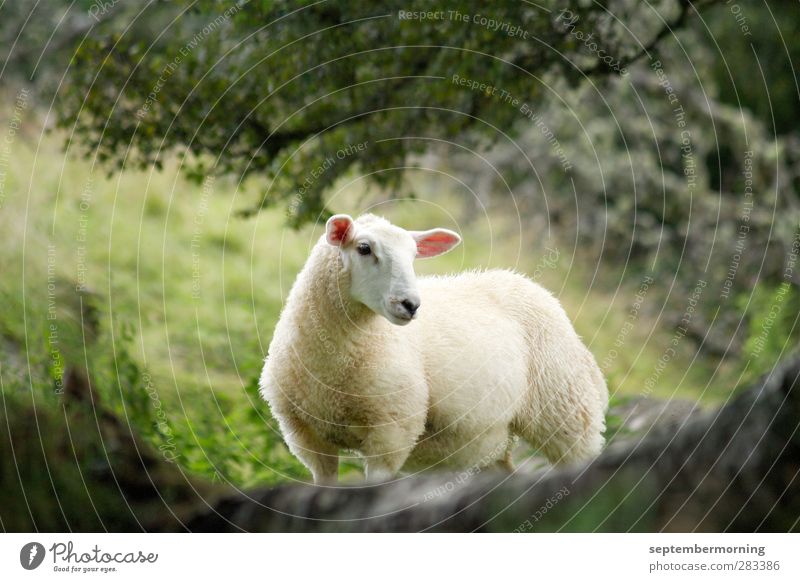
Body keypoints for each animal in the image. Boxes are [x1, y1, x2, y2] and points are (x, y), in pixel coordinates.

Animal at [260, 213, 608, 484]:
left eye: (414, 255)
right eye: (364, 248)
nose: (411, 304)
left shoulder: (392, 430)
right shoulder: (306, 436)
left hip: (566, 410)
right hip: (485, 442)